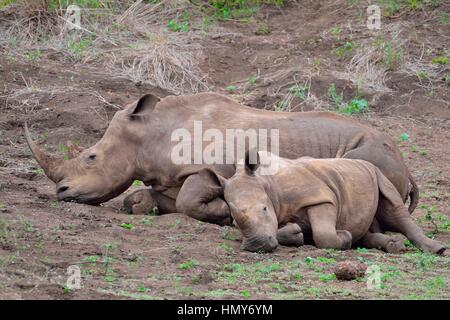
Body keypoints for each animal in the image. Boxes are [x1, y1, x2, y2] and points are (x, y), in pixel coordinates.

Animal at [200, 151, 446, 254]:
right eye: (234, 220)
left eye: (264, 208)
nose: (257, 246)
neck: (267, 185)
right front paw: (295, 233)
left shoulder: (321, 198)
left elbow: (324, 234)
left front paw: (343, 237)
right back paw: (393, 245)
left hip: (377, 173)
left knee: (394, 210)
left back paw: (437, 249)